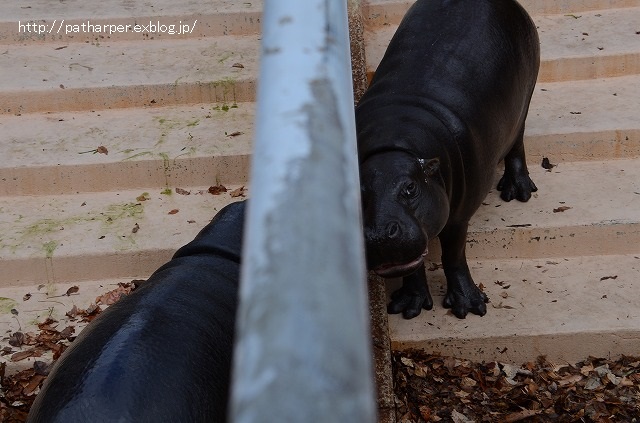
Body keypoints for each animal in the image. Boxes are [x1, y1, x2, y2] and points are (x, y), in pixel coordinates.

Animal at [356, 0, 540, 320]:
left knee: (517, 144)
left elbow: (454, 254)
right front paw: (408, 306)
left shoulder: (457, 215)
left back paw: (517, 191)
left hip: (524, 105)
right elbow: (413, 266)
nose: (379, 235)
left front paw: (470, 306)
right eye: (359, 192)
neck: (392, 146)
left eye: (410, 188)